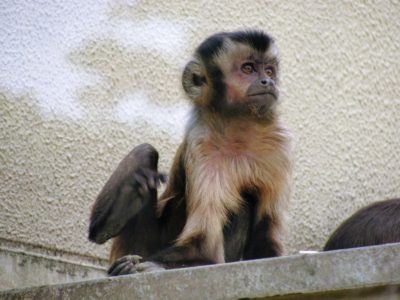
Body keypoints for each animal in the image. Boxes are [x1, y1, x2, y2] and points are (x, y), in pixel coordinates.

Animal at [89, 29, 292, 276]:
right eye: (248, 69)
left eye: (270, 70)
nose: (268, 81)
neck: (239, 129)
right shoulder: (202, 143)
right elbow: (202, 246)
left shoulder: (279, 147)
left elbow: (262, 239)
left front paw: (151, 267)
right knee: (145, 151)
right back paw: (116, 215)